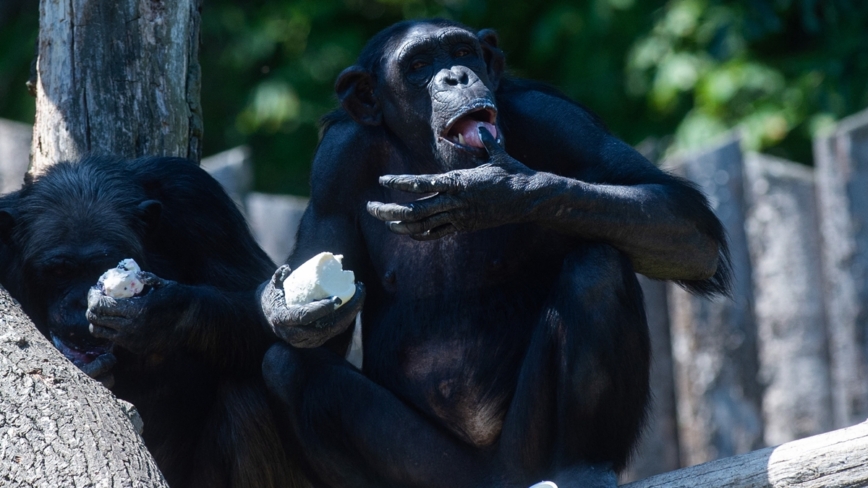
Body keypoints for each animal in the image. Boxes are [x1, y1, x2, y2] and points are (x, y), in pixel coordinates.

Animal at [0, 157, 308, 488]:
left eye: (102, 264)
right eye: (59, 271)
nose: (81, 302)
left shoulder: (202, 203)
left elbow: (263, 305)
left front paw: (161, 316)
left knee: (248, 392)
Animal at [260, 19, 732, 488]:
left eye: (462, 52)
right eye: (418, 66)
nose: (455, 77)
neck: (426, 155)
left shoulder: (557, 118)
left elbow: (678, 215)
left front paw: (497, 192)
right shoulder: (333, 167)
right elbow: (321, 324)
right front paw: (284, 308)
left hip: (525, 455)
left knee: (598, 272)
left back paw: (582, 467)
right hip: (437, 469)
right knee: (287, 368)